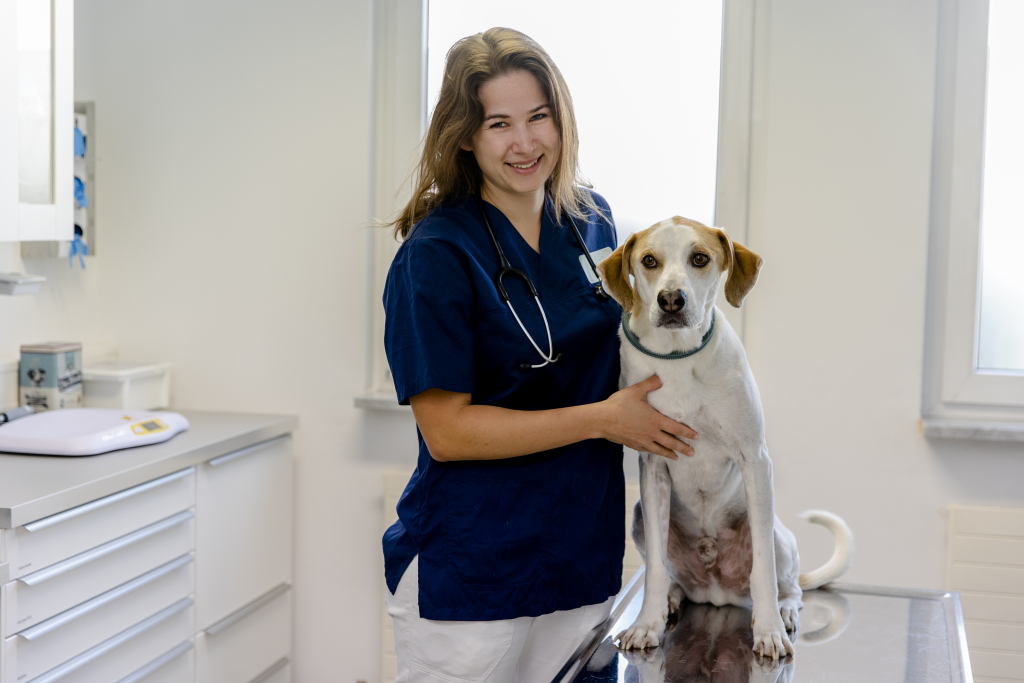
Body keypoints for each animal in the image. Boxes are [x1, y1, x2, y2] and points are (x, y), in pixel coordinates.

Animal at [598, 216, 851, 659]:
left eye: (700, 258)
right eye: (649, 260)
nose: (671, 299)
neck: (678, 359)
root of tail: (716, 593)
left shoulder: (755, 461)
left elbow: (764, 571)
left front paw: (769, 632)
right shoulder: (653, 466)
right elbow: (656, 570)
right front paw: (647, 625)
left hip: (775, 532)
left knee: (788, 585)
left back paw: (783, 611)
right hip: (640, 516)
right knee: (669, 574)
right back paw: (672, 599)